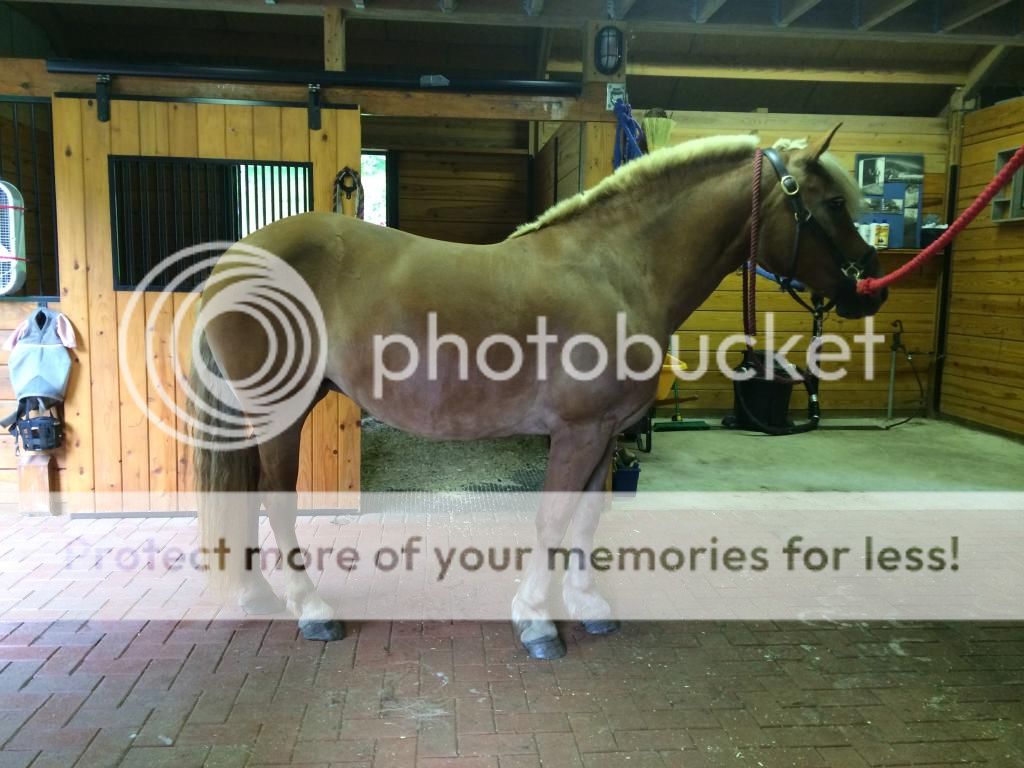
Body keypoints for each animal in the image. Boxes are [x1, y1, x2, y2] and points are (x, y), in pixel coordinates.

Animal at [190, 125, 887, 659]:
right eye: (830, 203)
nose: (870, 285)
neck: (615, 271)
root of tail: (236, 258)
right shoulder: (577, 431)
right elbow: (553, 517)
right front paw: (537, 620)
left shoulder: (605, 432)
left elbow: (587, 517)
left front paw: (587, 602)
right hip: (281, 412)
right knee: (275, 500)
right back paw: (311, 609)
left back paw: (256, 594)